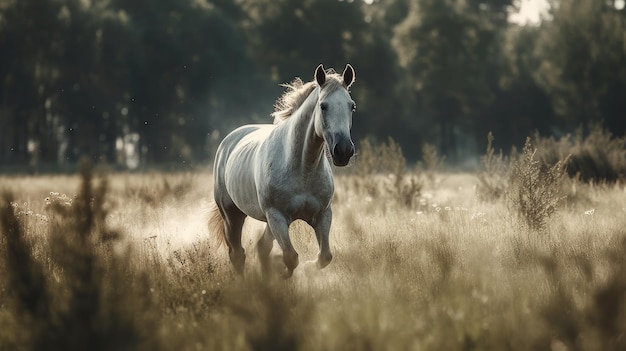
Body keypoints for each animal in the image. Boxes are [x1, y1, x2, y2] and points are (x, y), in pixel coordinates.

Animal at [208, 62, 356, 278]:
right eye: (323, 106)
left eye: (351, 106)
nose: (343, 151)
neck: (303, 168)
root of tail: (228, 141)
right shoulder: (277, 216)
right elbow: (291, 257)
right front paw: (282, 272)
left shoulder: (322, 215)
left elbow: (325, 256)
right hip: (232, 215)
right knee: (237, 254)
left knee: (261, 247)